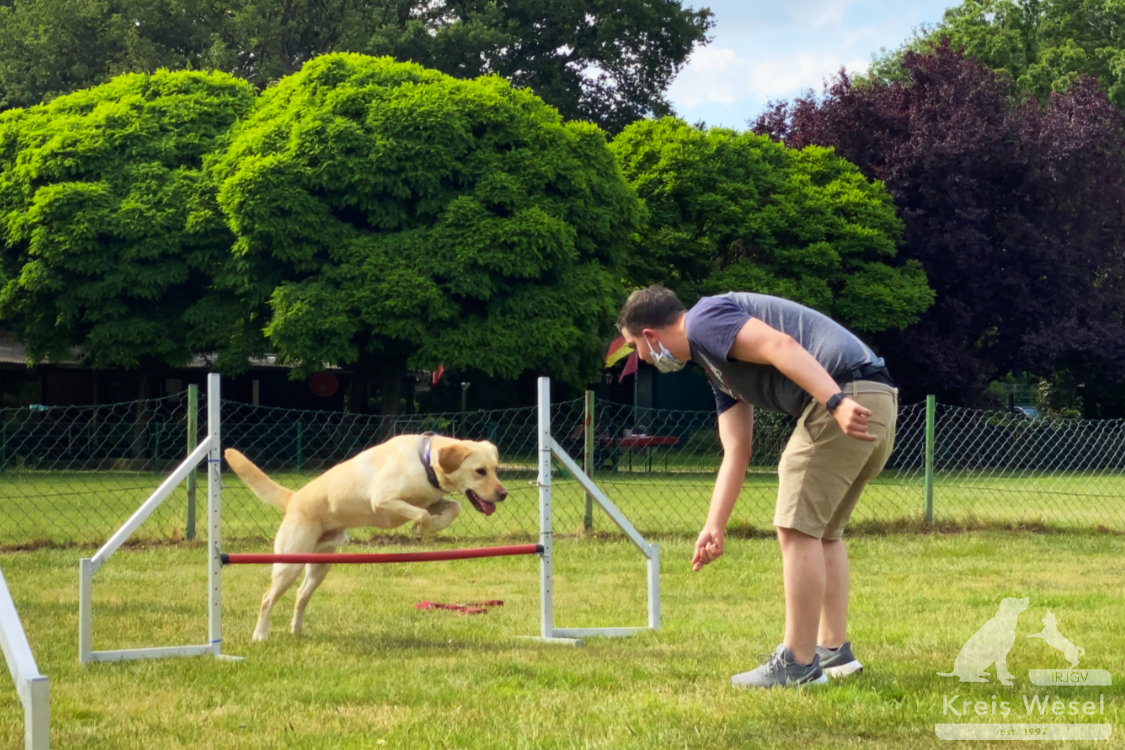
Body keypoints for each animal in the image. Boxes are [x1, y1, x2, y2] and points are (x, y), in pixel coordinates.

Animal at [223, 436, 506, 643]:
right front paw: (421, 527)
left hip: (320, 566)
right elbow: (422, 513)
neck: (424, 463)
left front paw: (433, 526)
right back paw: (260, 635)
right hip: (289, 563)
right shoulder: (383, 500)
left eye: (496, 469)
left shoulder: (433, 499)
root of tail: (293, 498)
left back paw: (297, 629)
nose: (503, 494)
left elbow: (453, 507)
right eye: (480, 471)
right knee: (267, 598)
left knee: (301, 595)